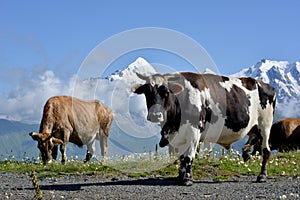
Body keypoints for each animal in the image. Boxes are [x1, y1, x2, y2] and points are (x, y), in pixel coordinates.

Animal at [131, 72, 276, 186]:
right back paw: (247, 155)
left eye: (166, 92)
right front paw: (180, 177)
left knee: (266, 150)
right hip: (253, 128)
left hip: (265, 125)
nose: (155, 115)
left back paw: (262, 176)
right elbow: (181, 157)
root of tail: (265, 85)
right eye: (147, 92)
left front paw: (187, 179)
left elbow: (188, 156)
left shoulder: (194, 131)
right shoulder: (177, 135)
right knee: (250, 143)